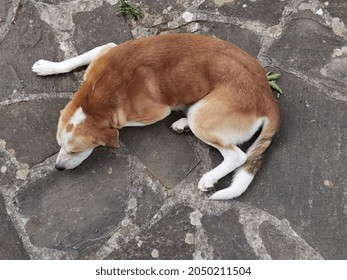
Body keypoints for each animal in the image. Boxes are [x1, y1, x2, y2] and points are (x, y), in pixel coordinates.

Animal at [32, 34, 282, 200]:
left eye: (75, 151)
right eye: (59, 145)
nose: (58, 168)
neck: (98, 96)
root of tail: (268, 98)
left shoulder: (155, 112)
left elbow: (119, 125)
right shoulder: (107, 49)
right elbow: (77, 58)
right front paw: (48, 67)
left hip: (202, 117)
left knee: (237, 156)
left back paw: (209, 177)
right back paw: (182, 124)